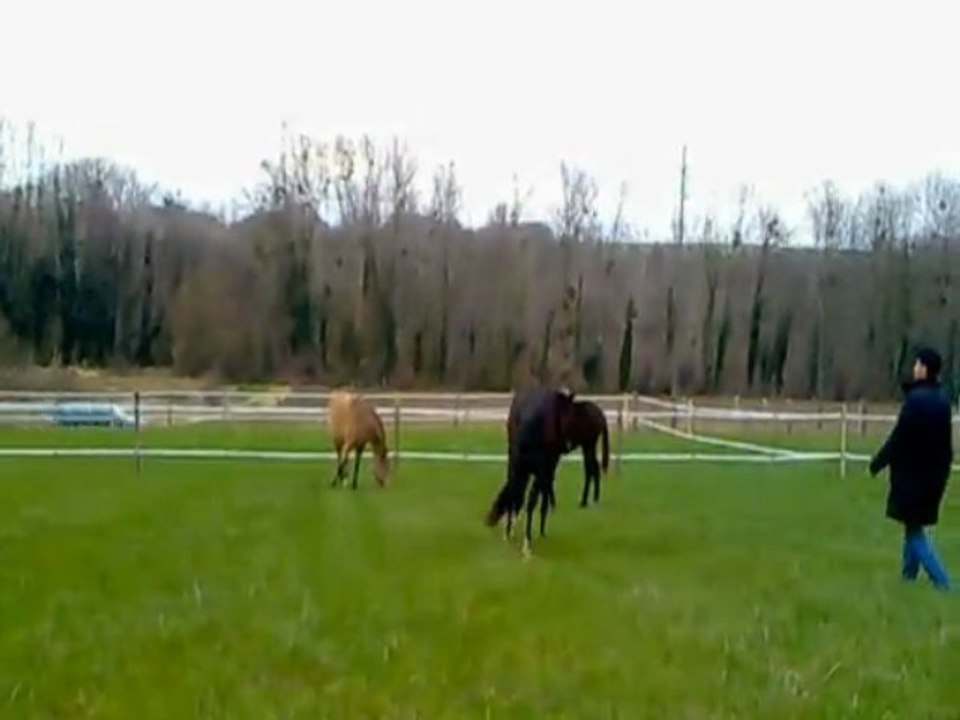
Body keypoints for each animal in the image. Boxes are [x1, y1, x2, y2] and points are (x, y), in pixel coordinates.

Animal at [485, 386, 577, 556]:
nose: (568, 446)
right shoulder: (544, 471)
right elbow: (539, 501)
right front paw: (536, 537)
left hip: (516, 465)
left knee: (516, 494)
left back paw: (510, 533)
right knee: (529, 500)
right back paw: (526, 541)